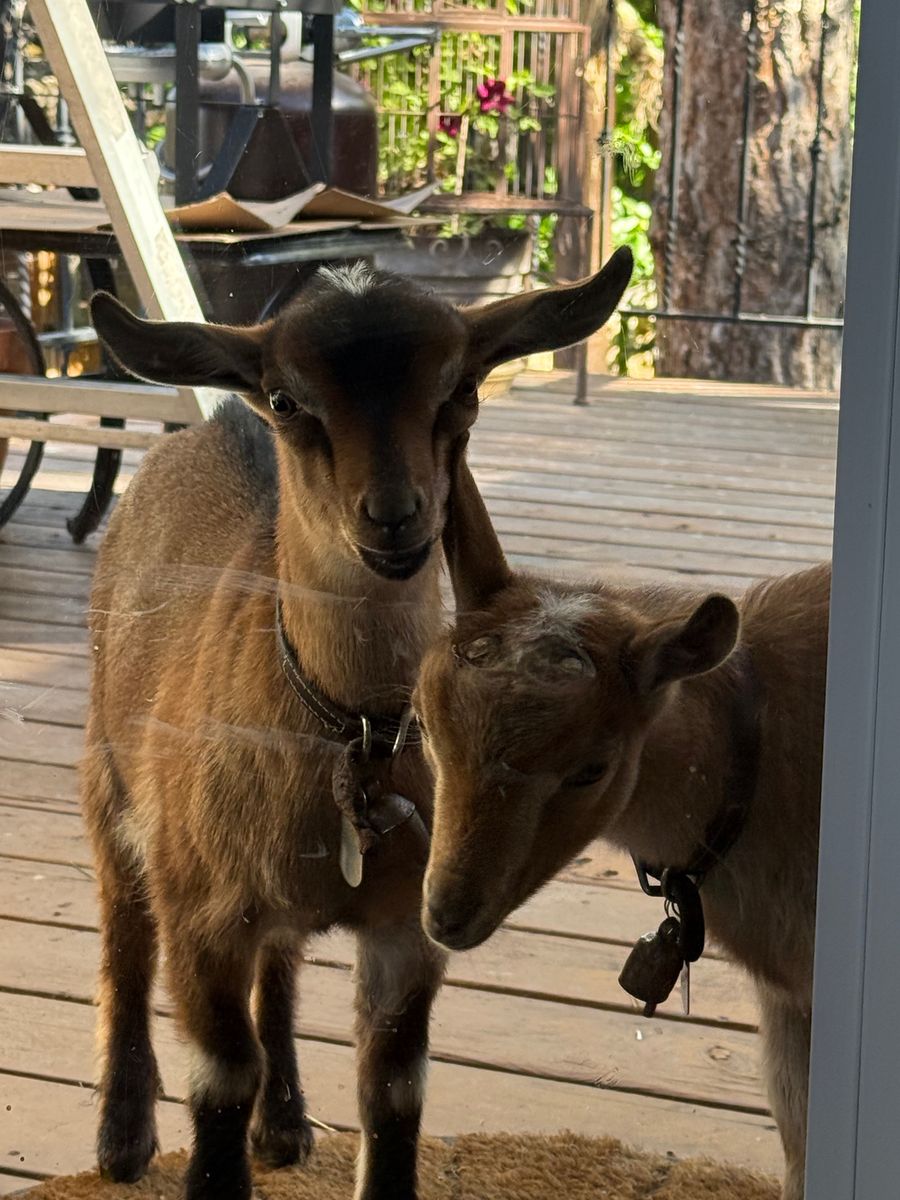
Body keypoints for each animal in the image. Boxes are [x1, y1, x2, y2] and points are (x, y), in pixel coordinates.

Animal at [82, 249, 633, 1200]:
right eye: (287, 398)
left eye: (461, 385)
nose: (394, 515)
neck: (354, 735)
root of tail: (207, 423)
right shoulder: (200, 911)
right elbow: (219, 1078)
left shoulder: (408, 927)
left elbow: (395, 1090)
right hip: (109, 782)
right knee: (123, 938)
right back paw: (121, 1134)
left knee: (282, 966)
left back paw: (286, 1123)